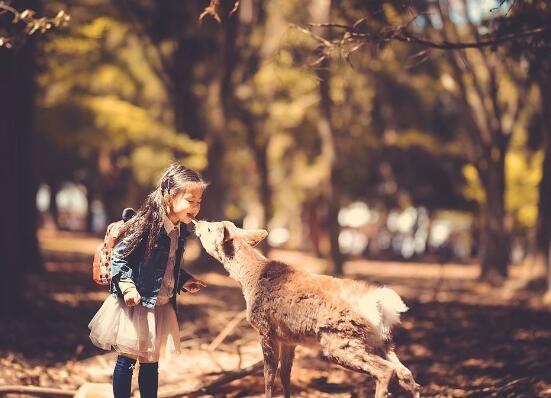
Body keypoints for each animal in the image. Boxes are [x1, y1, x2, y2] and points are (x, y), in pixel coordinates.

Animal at [192, 219, 420, 398]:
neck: (249, 279)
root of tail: (380, 304)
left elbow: (268, 374)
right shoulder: (289, 338)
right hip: (381, 341)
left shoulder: (265, 329)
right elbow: (285, 374)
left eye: (211, 228)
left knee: (386, 371)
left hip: (340, 339)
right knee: (406, 374)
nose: (197, 222)